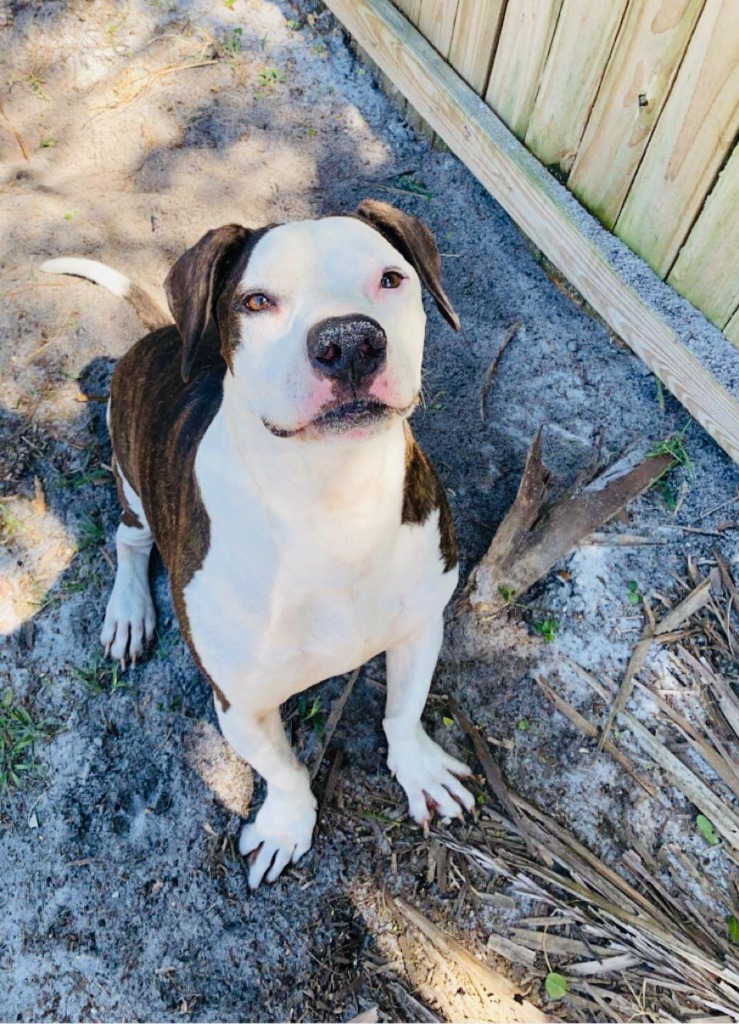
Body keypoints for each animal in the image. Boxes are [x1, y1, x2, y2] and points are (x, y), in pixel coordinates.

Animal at [41, 201, 472, 888]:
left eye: (390, 279)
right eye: (257, 301)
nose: (351, 341)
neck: (330, 500)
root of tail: (164, 335)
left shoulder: (419, 624)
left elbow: (403, 712)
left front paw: (420, 769)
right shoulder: (239, 704)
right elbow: (286, 771)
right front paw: (286, 825)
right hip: (132, 481)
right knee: (128, 542)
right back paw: (129, 614)